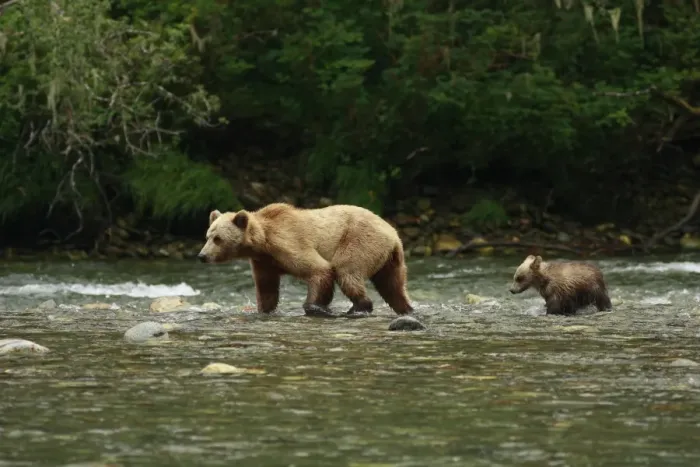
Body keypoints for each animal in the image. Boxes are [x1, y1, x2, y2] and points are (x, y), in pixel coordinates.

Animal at [197, 202, 414, 319]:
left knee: (347, 271)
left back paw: (358, 307)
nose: (202, 256)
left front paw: (315, 306)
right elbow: (267, 289)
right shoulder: (264, 262)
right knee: (393, 286)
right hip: (390, 259)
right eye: (207, 236)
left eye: (218, 239)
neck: (262, 242)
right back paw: (405, 308)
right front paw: (264, 310)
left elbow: (319, 269)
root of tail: (393, 233)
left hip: (360, 241)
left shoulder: (288, 243)